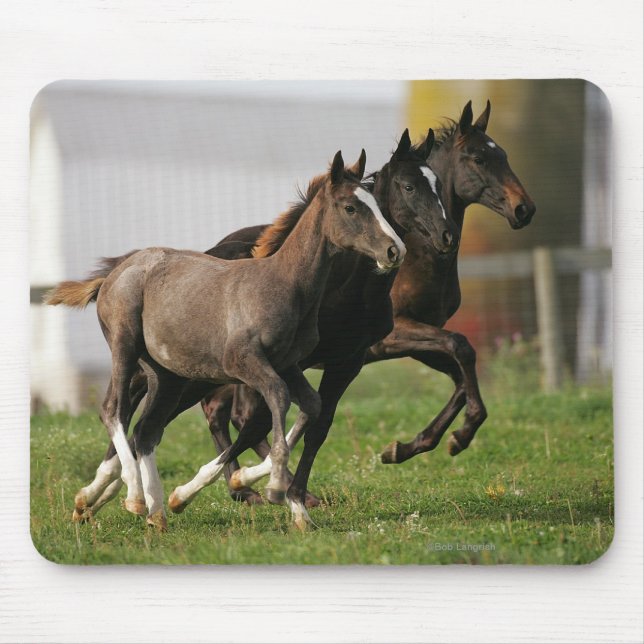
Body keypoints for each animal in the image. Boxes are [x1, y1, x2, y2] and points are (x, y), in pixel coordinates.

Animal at [63, 129, 457, 522]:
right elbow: (275, 406)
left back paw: (153, 510)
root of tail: (117, 270)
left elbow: (309, 409)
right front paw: (276, 487)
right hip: (131, 347)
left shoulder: (295, 363)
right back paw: (125, 495)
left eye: (377, 202)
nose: (395, 251)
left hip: (169, 373)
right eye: (351, 207)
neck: (287, 282)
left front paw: (278, 495)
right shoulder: (245, 362)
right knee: (115, 410)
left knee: (147, 429)